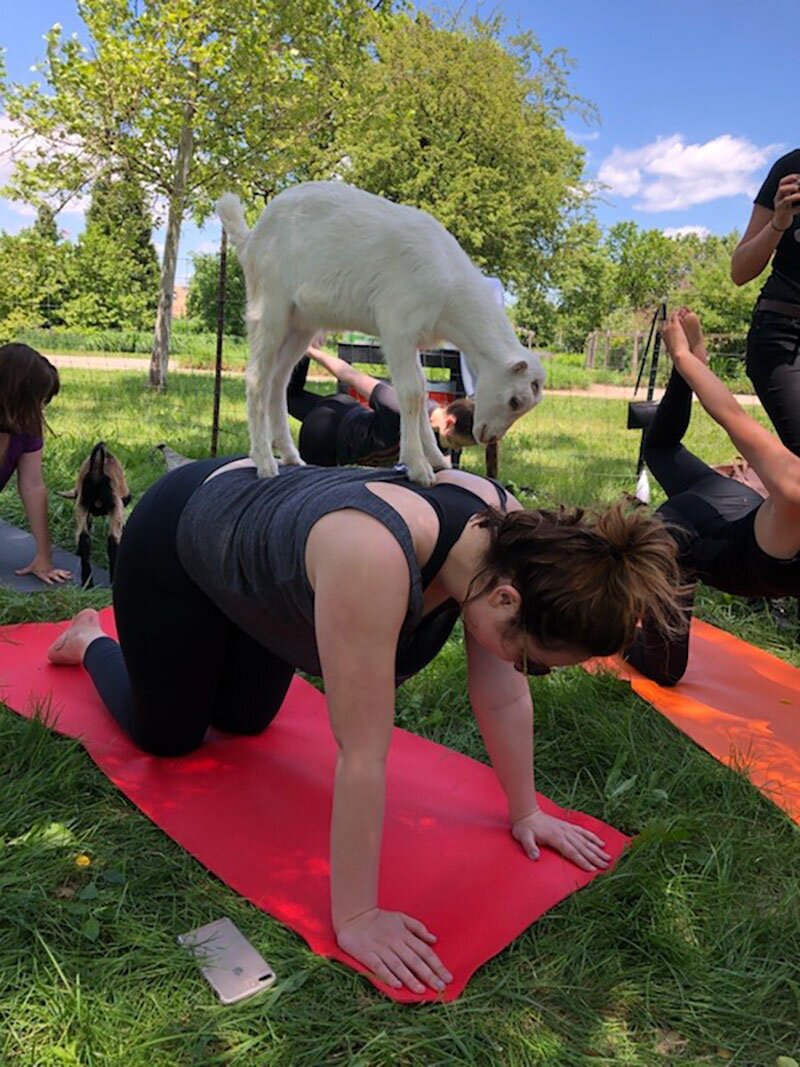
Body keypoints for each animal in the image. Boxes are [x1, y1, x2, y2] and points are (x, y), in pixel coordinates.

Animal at [60, 443, 131, 593]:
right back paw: (111, 582)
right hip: (114, 506)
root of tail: (96, 472)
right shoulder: (119, 507)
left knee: (84, 538)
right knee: (113, 541)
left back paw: (88, 583)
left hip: (82, 505)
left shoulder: (84, 509)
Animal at [216, 181, 550, 486]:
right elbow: (411, 392)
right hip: (269, 305)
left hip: (301, 324)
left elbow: (423, 390)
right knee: (257, 378)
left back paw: (289, 455)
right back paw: (264, 460)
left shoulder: (414, 339)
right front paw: (419, 467)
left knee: (277, 380)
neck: (450, 295)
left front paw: (437, 460)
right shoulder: (396, 326)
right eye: (515, 401)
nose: (487, 435)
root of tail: (251, 239)